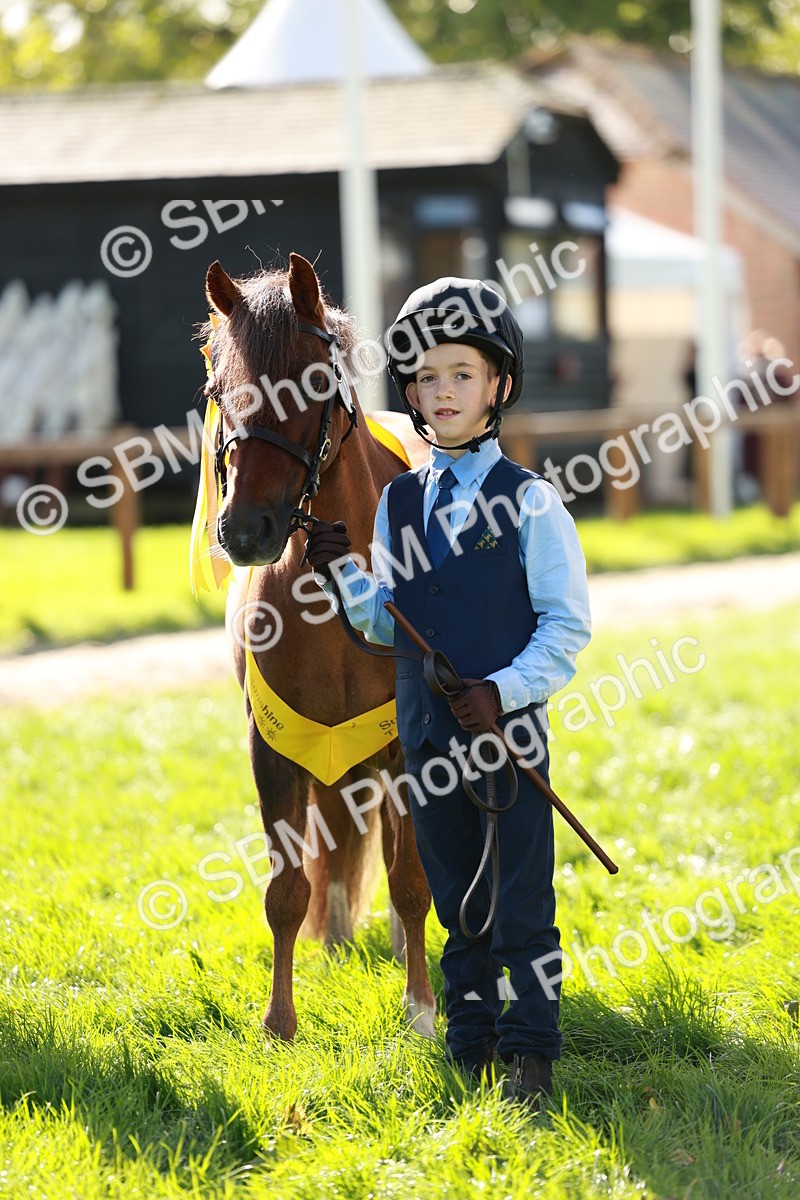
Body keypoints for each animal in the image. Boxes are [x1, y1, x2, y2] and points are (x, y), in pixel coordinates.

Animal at [200, 251, 435, 1043]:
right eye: (217, 389)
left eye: (310, 385)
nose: (245, 531)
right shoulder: (274, 746)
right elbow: (285, 891)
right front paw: (279, 1021)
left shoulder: (405, 748)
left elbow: (411, 879)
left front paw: (422, 1010)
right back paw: (335, 939)